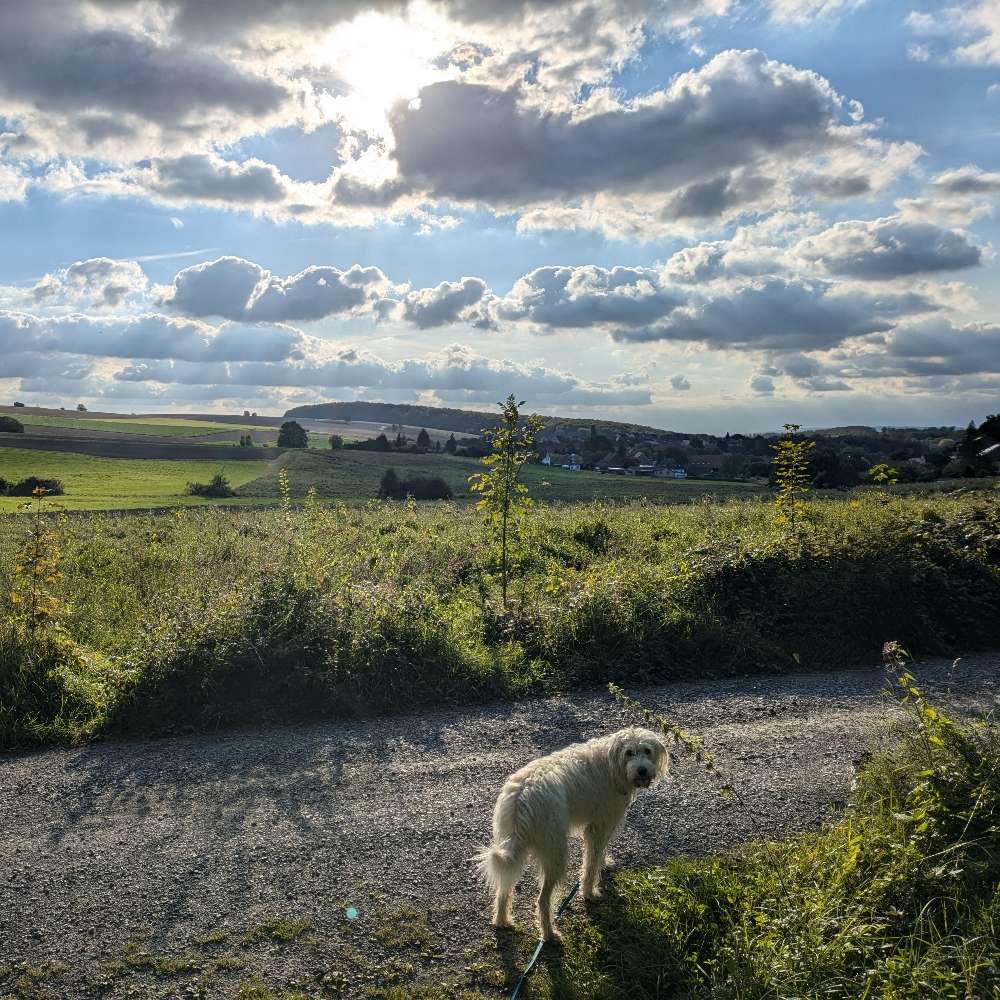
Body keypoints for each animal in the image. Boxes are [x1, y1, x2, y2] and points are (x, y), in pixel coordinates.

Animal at [474, 732, 668, 940]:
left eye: (647, 751)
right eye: (629, 752)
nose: (642, 770)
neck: (611, 764)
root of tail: (522, 797)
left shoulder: (602, 827)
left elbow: (599, 853)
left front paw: (604, 862)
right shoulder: (599, 827)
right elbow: (590, 865)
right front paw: (589, 892)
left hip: (513, 850)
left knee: (504, 887)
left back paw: (502, 920)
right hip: (556, 853)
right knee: (542, 899)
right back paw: (549, 933)